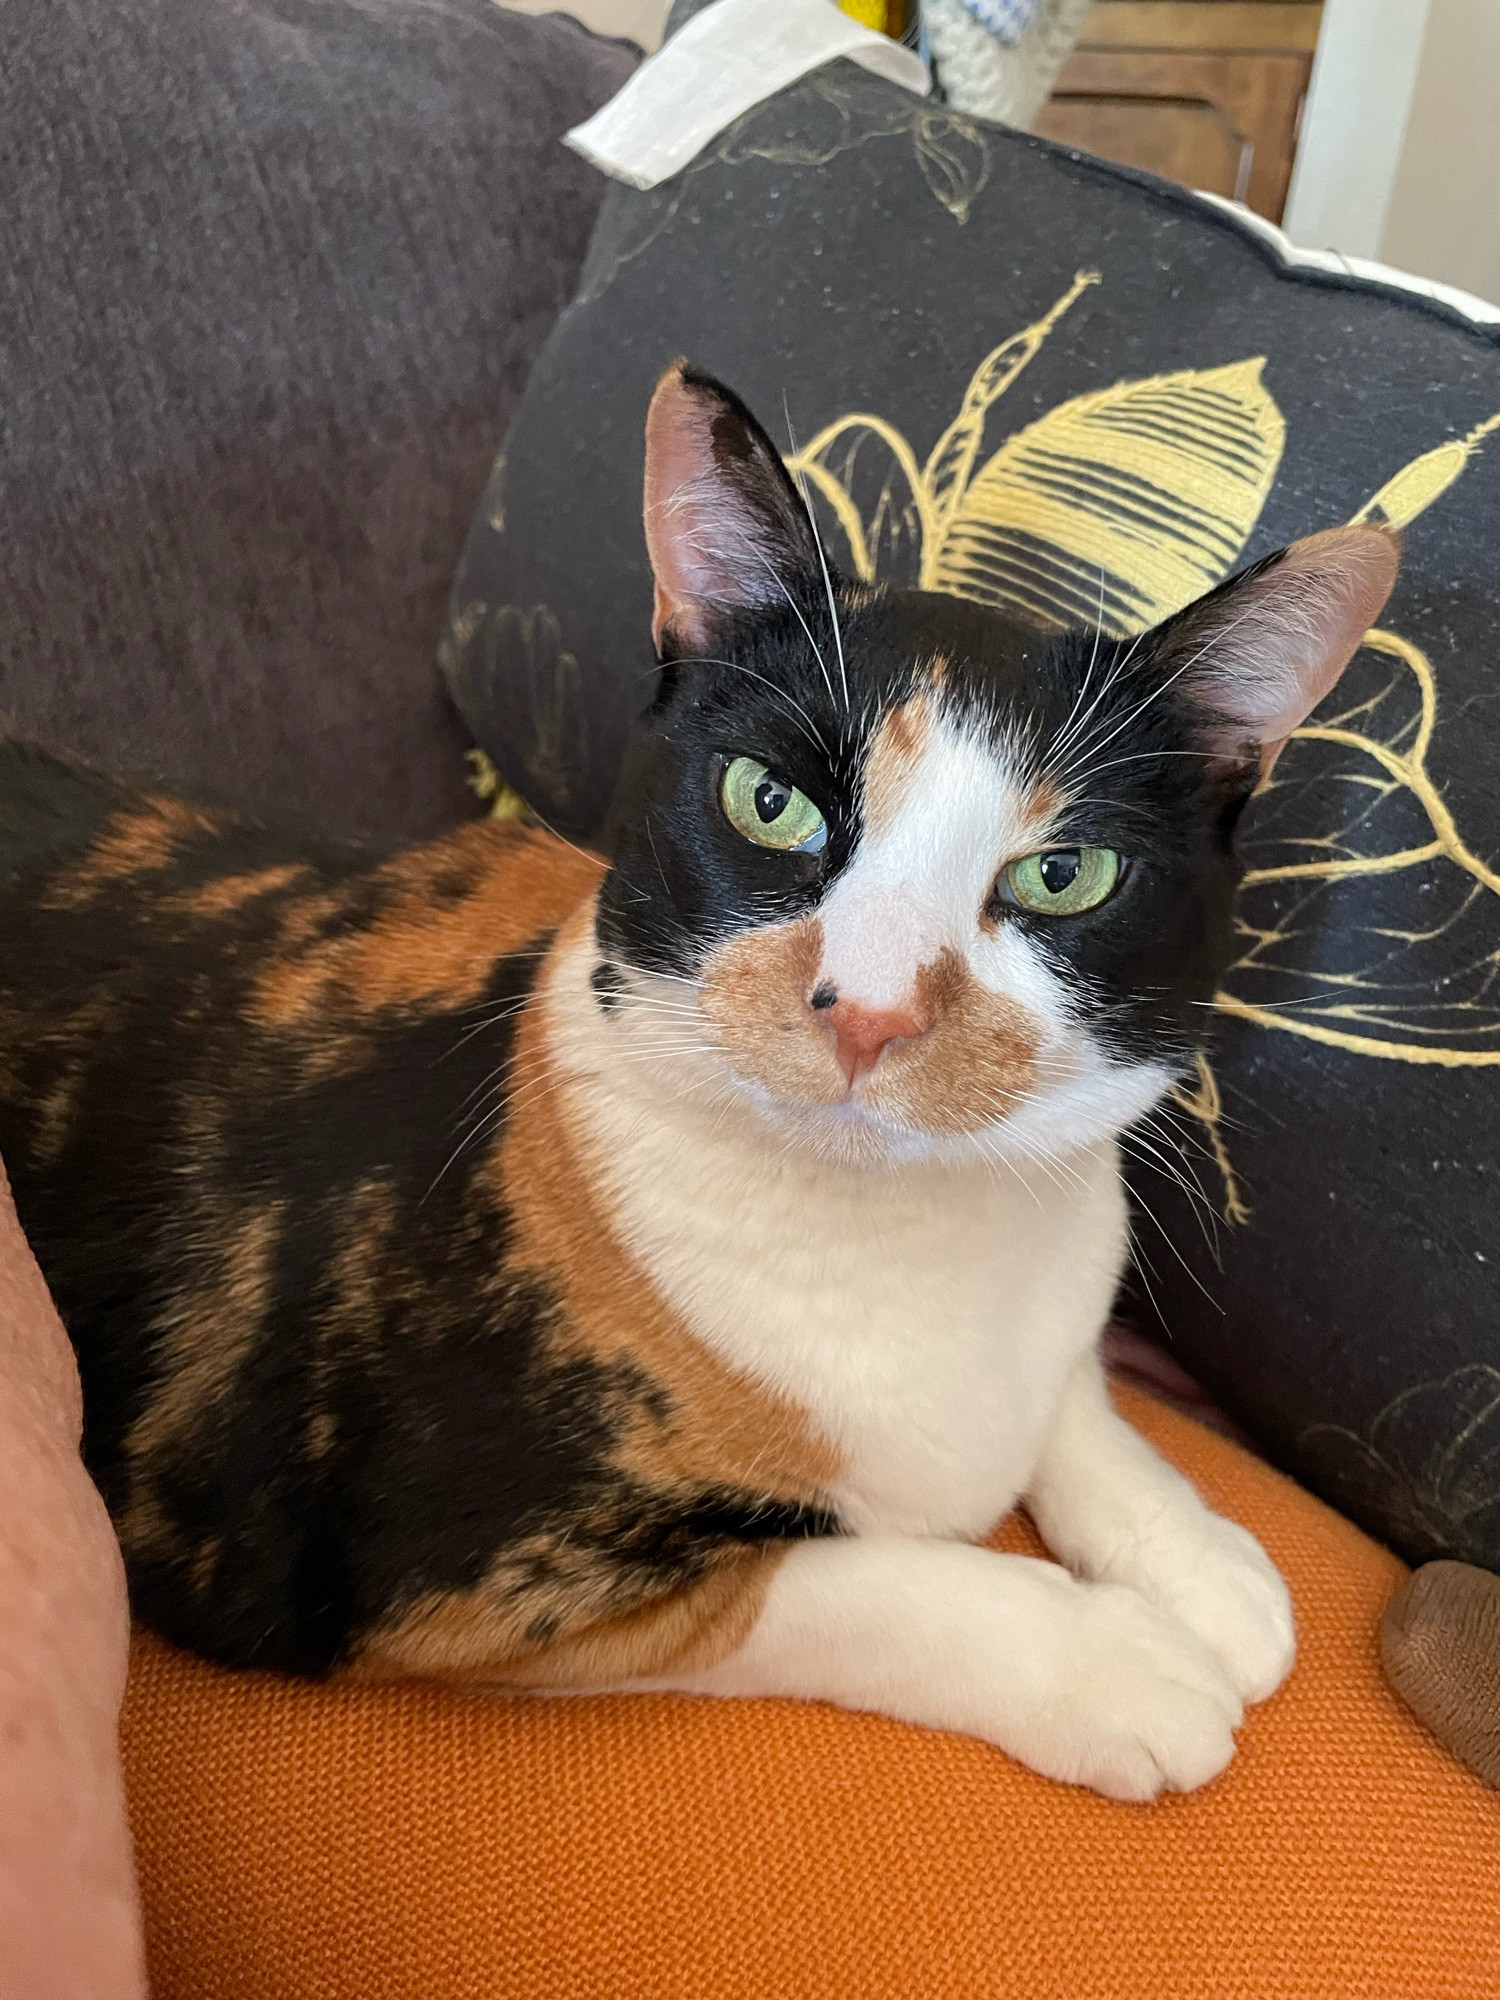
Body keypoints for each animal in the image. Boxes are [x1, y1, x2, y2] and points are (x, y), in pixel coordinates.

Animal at [0, 360, 1400, 1800]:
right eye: (768, 800)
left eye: (1067, 874)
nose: (872, 1011)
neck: (897, 1246)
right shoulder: (440, 1566)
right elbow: (843, 1578)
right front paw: (1114, 1660)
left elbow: (1066, 1385)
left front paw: (1192, 1551)